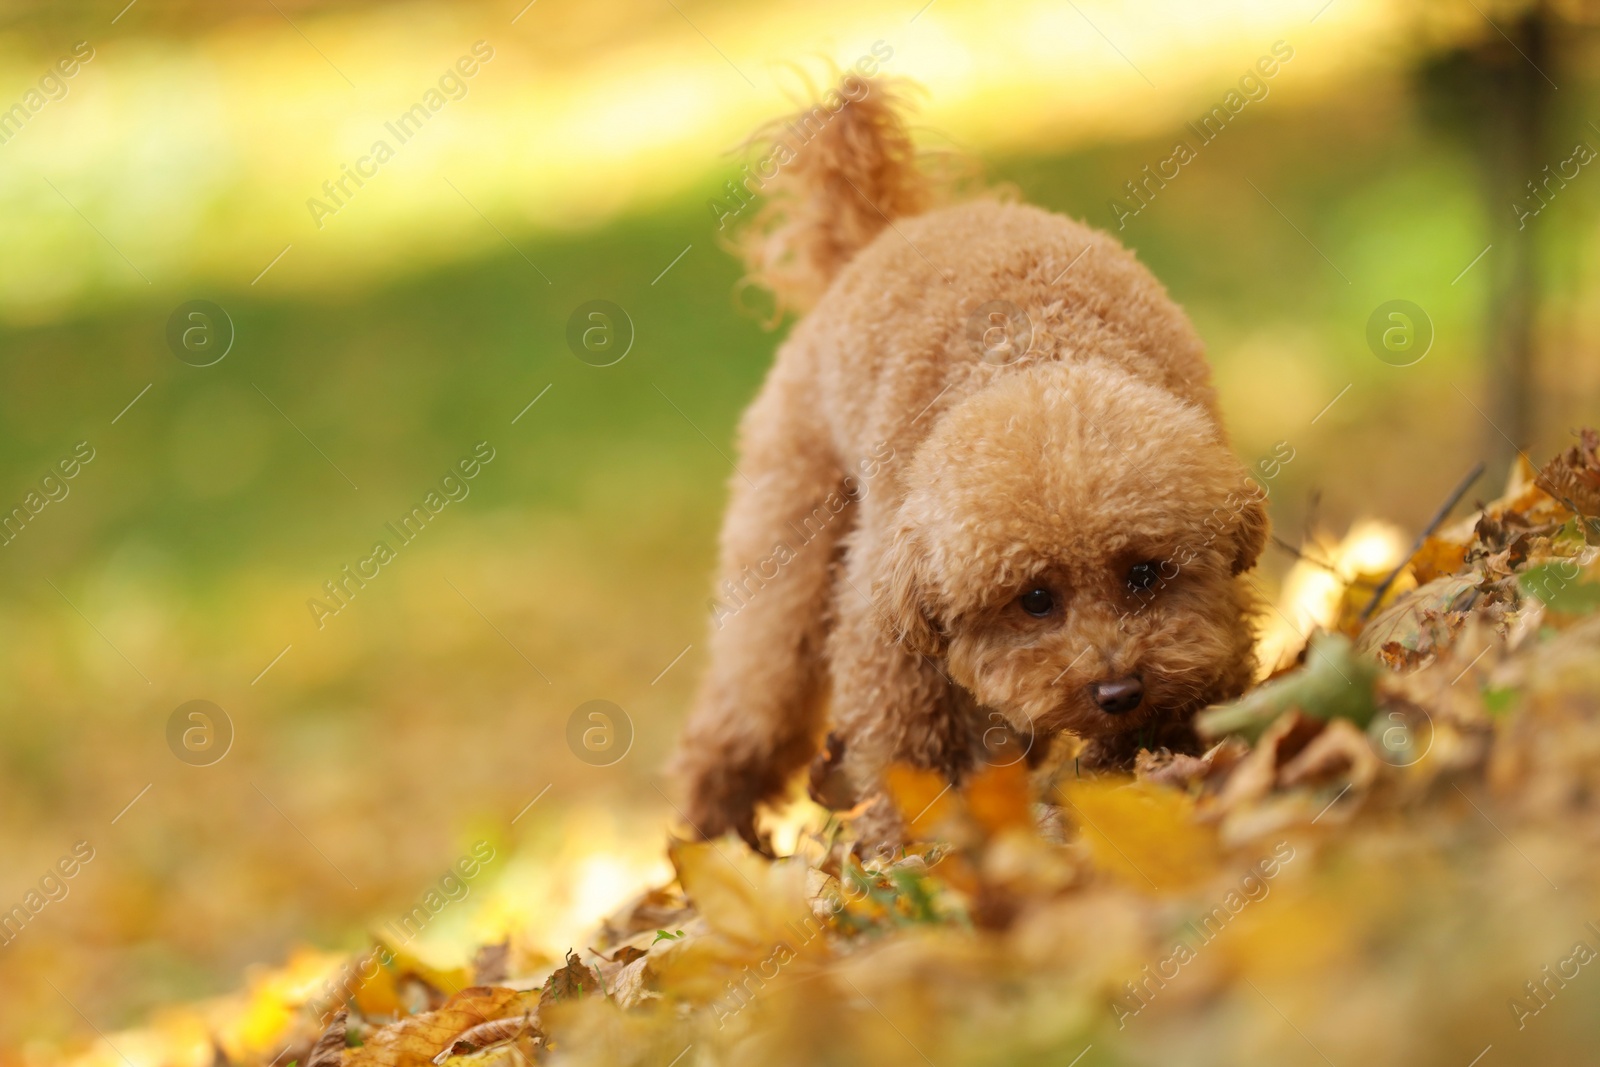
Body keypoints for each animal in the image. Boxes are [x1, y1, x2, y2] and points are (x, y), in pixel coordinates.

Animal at [668, 77, 1267, 851]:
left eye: (1145, 573)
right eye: (1034, 599)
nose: (1117, 689)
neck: (1037, 355)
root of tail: (879, 235)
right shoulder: (889, 627)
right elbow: (910, 754)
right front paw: (921, 852)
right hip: (787, 535)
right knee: (753, 697)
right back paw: (711, 831)